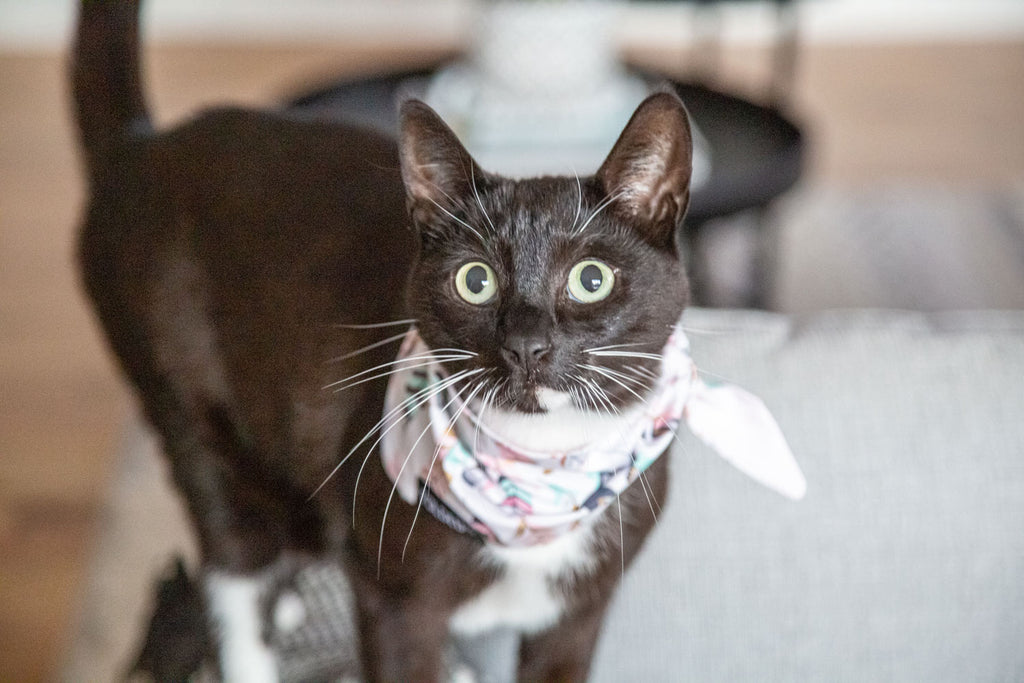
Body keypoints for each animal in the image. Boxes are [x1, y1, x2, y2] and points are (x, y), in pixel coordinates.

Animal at [74, 2, 696, 679]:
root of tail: (142, 145)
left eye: (591, 279)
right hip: (191, 416)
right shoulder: (394, 602)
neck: (539, 477)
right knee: (234, 569)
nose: (527, 345)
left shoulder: (581, 610)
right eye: (475, 280)